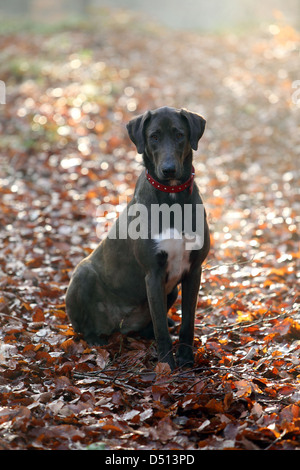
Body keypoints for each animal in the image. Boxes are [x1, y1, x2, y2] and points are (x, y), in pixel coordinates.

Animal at [66, 104, 210, 370]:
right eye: (154, 137)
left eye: (179, 135)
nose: (168, 169)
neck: (172, 197)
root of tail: (119, 326)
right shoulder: (153, 274)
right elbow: (162, 330)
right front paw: (167, 366)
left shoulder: (194, 270)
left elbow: (188, 323)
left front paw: (186, 358)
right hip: (83, 273)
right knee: (82, 329)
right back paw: (96, 340)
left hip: (171, 291)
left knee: (151, 325)